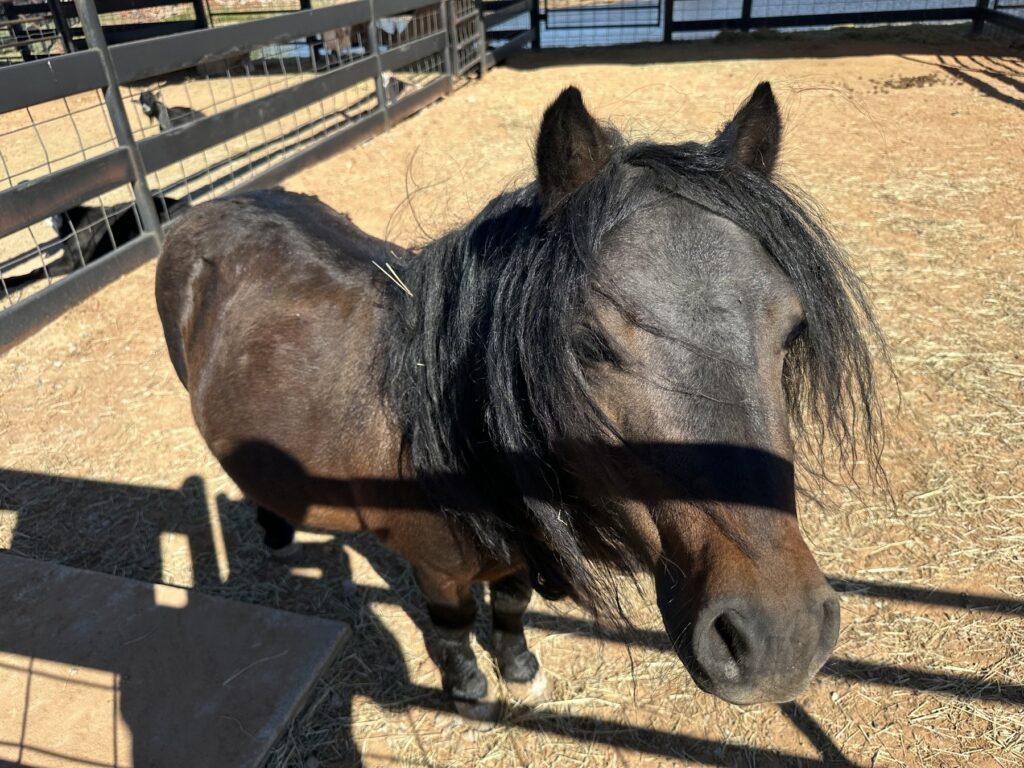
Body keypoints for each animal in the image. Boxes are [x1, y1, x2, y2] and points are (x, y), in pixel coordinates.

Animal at [155, 82, 884, 713]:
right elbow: (451, 626)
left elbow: (508, 608)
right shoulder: (436, 565)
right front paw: (469, 688)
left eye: (791, 331)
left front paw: (520, 670)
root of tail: (214, 203)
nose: (781, 637)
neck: (443, 431)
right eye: (588, 344)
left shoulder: (516, 549)